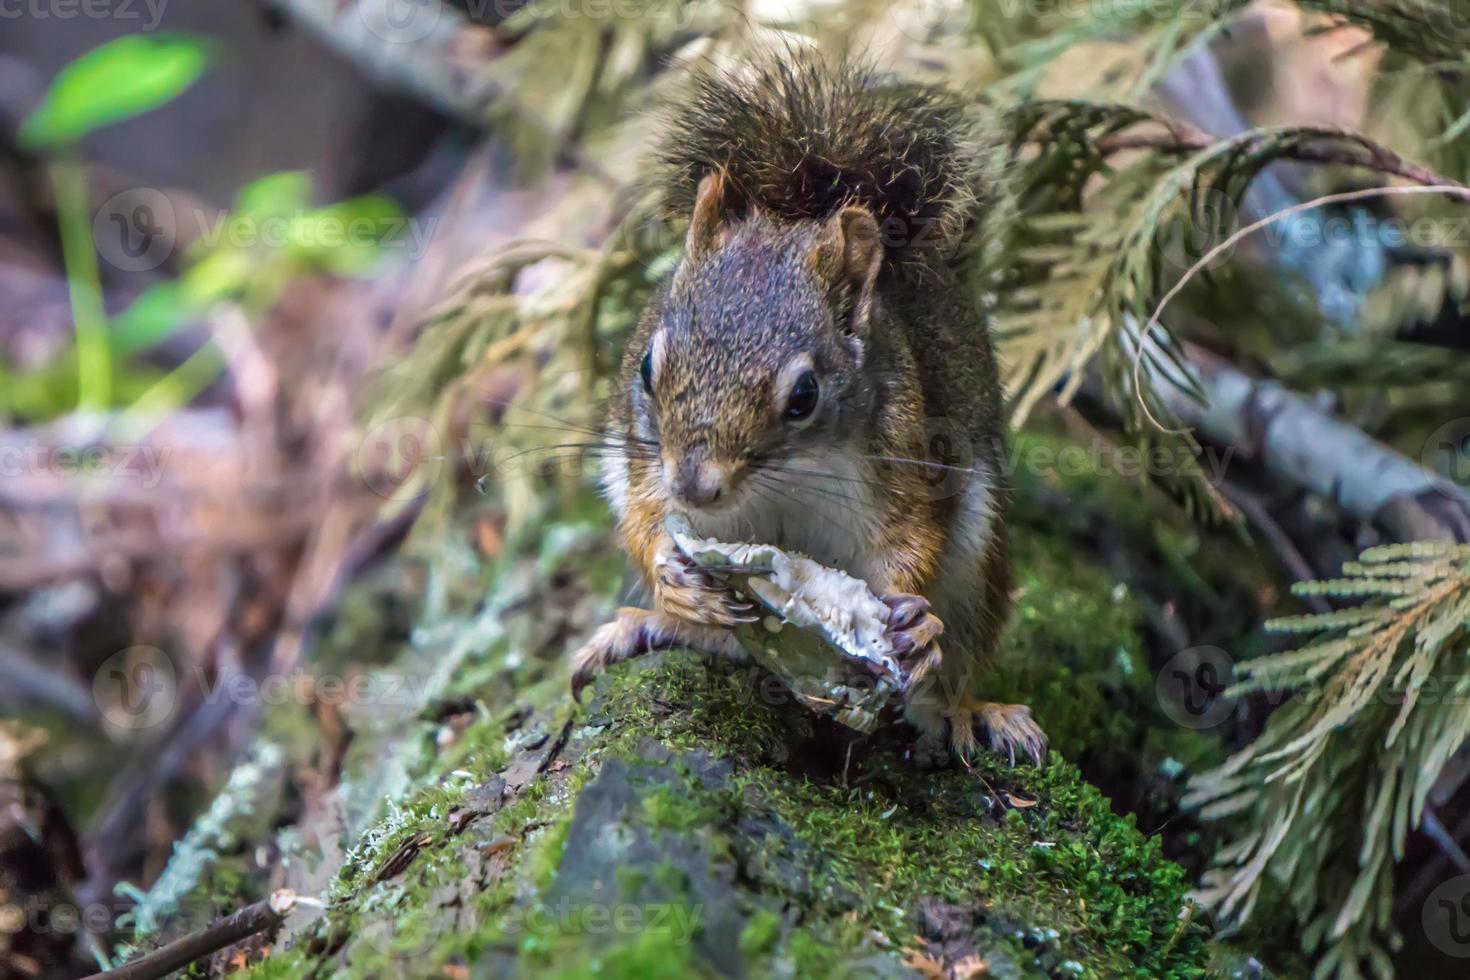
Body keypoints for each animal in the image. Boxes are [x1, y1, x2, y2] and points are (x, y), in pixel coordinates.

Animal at [573, 53, 1046, 764]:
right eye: (647, 369)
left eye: (804, 397)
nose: (697, 487)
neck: (784, 483)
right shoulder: (644, 462)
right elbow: (644, 519)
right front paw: (670, 578)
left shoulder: (909, 457)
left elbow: (912, 542)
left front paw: (911, 620)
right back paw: (651, 626)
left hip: (979, 567)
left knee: (954, 671)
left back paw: (974, 710)